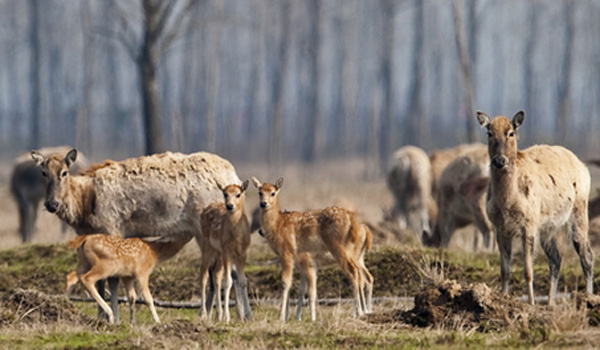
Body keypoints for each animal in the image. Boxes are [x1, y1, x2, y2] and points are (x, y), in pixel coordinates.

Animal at [198, 180, 252, 322]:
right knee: (203, 275)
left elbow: (242, 281)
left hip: (218, 253)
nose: (230, 206)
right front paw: (227, 317)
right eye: (225, 194)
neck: (236, 237)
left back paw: (217, 315)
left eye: (238, 194)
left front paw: (247, 317)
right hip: (207, 245)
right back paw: (203, 314)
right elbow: (228, 281)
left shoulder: (242, 253)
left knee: (215, 274)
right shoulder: (227, 251)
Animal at [251, 178, 372, 320]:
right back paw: (362, 311)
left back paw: (359, 312)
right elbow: (299, 287)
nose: (263, 203)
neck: (277, 225)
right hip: (353, 253)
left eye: (273, 193)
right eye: (259, 192)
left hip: (339, 246)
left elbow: (286, 283)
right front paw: (293, 317)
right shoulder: (300, 262)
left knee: (353, 271)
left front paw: (281, 317)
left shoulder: (287, 252)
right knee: (362, 274)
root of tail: (352, 219)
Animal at [478, 110, 596, 304]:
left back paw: (589, 297)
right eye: (489, 133)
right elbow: (505, 270)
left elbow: (528, 269)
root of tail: (583, 167)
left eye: (511, 132)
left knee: (587, 255)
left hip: (580, 208)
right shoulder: (499, 227)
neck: (506, 203)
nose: (500, 160)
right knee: (556, 259)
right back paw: (549, 302)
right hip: (548, 227)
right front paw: (503, 298)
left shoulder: (529, 222)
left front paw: (531, 302)